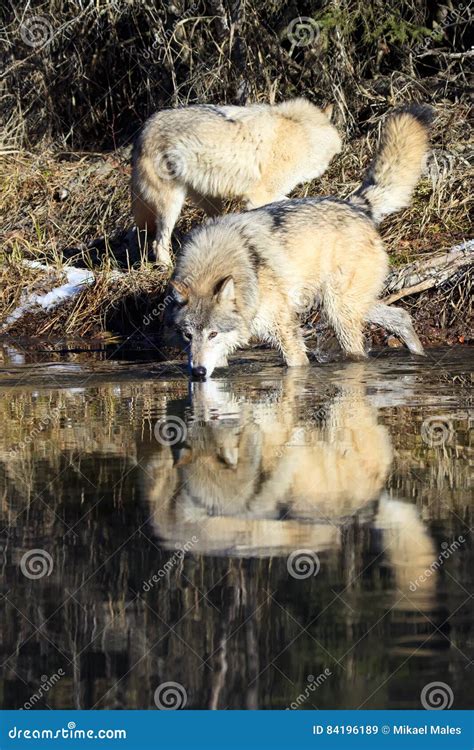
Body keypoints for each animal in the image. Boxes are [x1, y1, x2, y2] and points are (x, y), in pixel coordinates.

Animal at [131, 99, 341, 264]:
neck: (305, 135)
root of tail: (142, 131)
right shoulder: (258, 198)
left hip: (212, 202)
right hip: (171, 205)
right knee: (158, 243)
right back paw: (167, 267)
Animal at [169, 104, 433, 379]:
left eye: (213, 334)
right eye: (188, 335)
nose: (198, 372)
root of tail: (355, 205)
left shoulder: (284, 330)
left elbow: (296, 365)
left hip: (340, 312)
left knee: (361, 352)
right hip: (348, 304)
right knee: (401, 316)